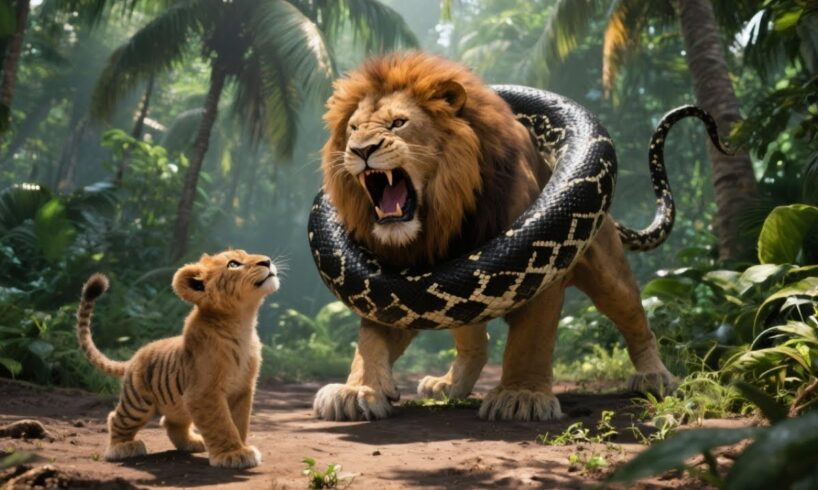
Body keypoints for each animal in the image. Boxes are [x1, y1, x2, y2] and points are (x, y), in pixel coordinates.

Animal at [76, 250, 279, 468]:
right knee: (116, 418)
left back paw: (193, 442)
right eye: (233, 264)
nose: (267, 261)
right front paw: (233, 454)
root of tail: (134, 357)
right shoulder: (204, 392)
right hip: (138, 402)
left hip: (177, 402)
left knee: (169, 422)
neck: (242, 324)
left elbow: (239, 423)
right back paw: (122, 448)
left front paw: (239, 447)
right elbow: (222, 424)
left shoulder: (242, 389)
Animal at [314, 51, 676, 422]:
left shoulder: (541, 269)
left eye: (398, 123)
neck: (443, 216)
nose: (361, 150)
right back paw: (449, 384)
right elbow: (370, 341)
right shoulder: (392, 292)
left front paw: (521, 395)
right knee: (475, 341)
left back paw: (655, 376)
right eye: (353, 129)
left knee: (636, 320)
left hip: (608, 274)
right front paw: (357, 391)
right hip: (458, 304)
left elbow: (529, 340)